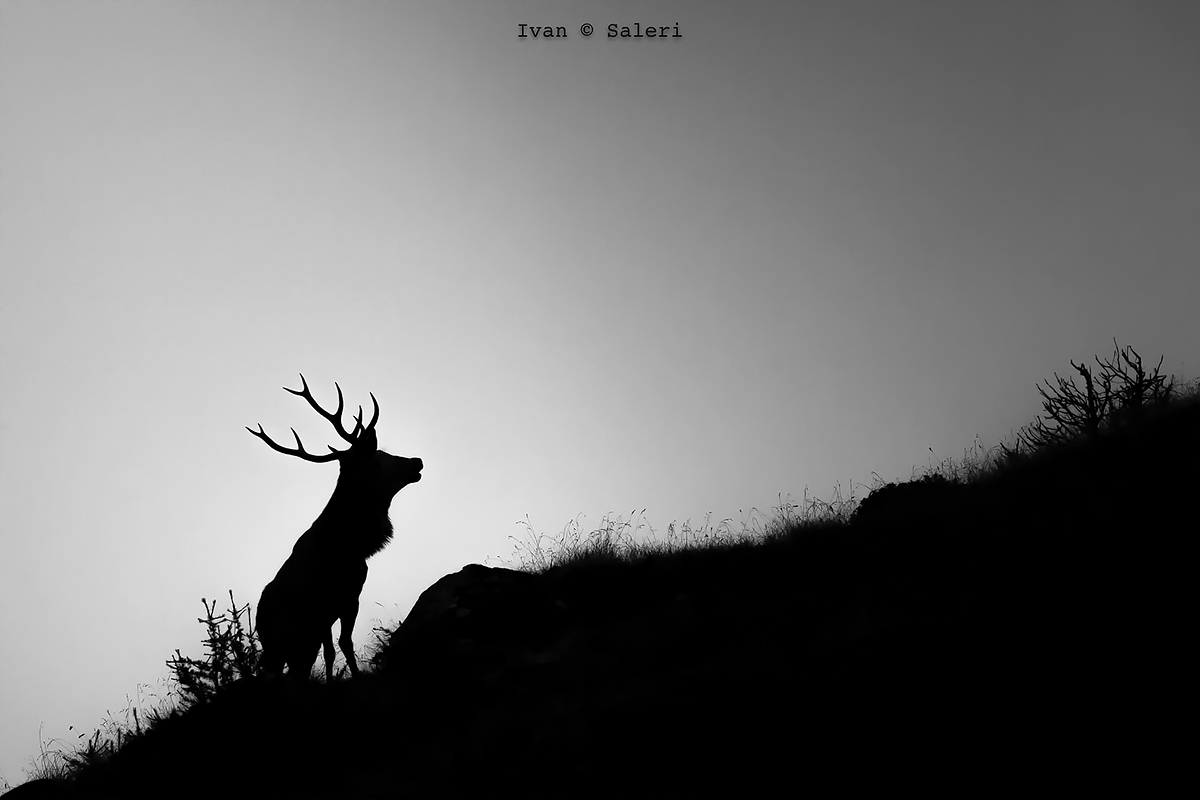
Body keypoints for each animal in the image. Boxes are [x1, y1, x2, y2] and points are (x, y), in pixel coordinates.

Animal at [248, 374, 423, 680]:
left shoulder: (329, 610)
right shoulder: (345, 596)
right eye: (380, 455)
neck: (353, 543)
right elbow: (343, 644)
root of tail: (260, 623)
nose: (417, 461)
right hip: (283, 643)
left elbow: (331, 651)